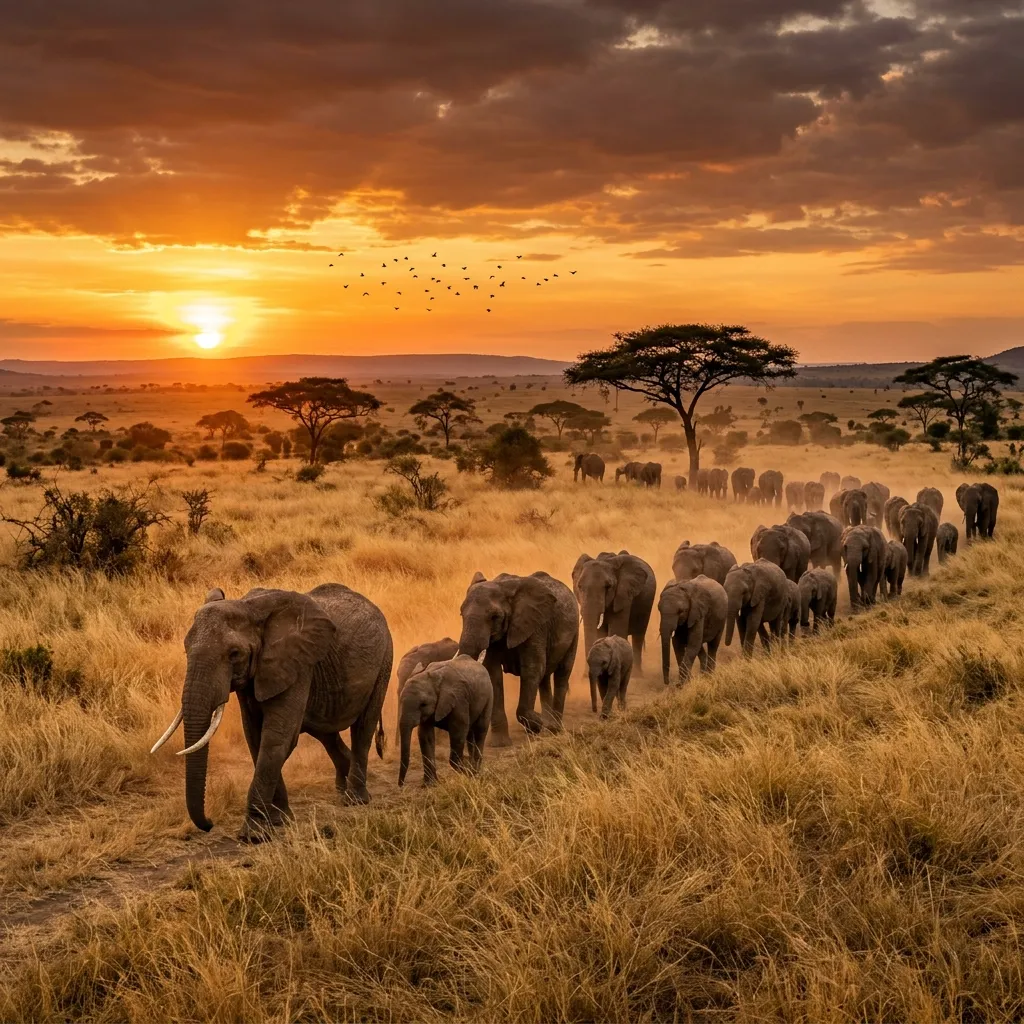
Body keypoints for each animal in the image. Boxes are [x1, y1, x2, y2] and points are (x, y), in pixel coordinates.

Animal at [151, 584, 393, 840]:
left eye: (234, 654)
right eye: (185, 649)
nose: (209, 824)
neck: (248, 607)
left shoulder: (297, 663)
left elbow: (276, 739)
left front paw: (253, 835)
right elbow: (255, 737)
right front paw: (280, 820)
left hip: (384, 660)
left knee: (363, 728)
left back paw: (355, 799)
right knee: (326, 732)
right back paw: (344, 786)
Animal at [398, 656, 492, 787]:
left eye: (423, 704)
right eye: (401, 700)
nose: (401, 785)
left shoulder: (459, 700)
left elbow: (458, 732)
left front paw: (467, 771)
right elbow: (425, 736)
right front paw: (429, 785)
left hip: (489, 695)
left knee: (480, 729)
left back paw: (475, 771)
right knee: (470, 732)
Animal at [458, 571, 578, 744]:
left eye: (494, 617)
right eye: (461, 614)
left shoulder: (535, 627)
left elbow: (532, 669)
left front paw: (537, 725)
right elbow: (493, 673)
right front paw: (500, 743)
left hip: (574, 632)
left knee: (562, 673)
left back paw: (553, 728)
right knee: (544, 677)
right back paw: (548, 724)